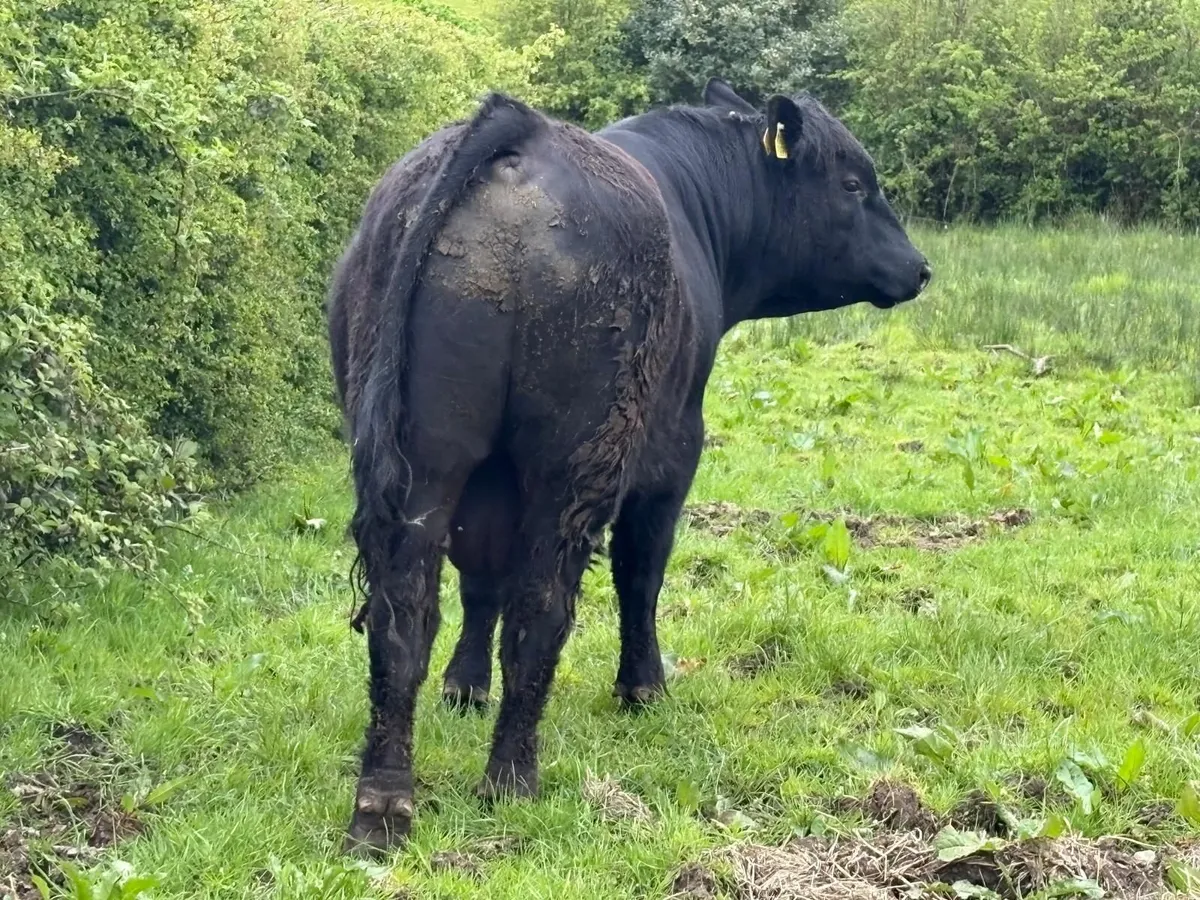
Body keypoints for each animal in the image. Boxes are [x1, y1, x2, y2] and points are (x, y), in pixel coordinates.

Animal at [326, 77, 931, 856]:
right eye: (855, 184)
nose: (919, 266)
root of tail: (523, 129)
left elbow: (480, 587)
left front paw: (464, 687)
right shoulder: (673, 454)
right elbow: (640, 574)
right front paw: (644, 686)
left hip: (423, 458)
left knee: (402, 614)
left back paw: (383, 807)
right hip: (575, 456)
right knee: (543, 606)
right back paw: (510, 779)